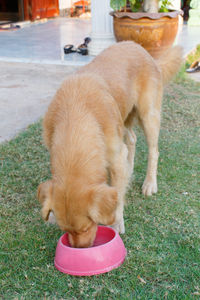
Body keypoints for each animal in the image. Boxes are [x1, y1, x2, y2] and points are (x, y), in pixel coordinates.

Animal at [37, 42, 183, 248]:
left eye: (85, 228)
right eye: (66, 231)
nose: (81, 250)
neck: (75, 115)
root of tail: (141, 49)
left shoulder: (116, 155)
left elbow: (118, 195)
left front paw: (116, 223)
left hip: (148, 115)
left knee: (153, 151)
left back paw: (149, 183)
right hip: (123, 118)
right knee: (132, 139)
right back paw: (130, 168)